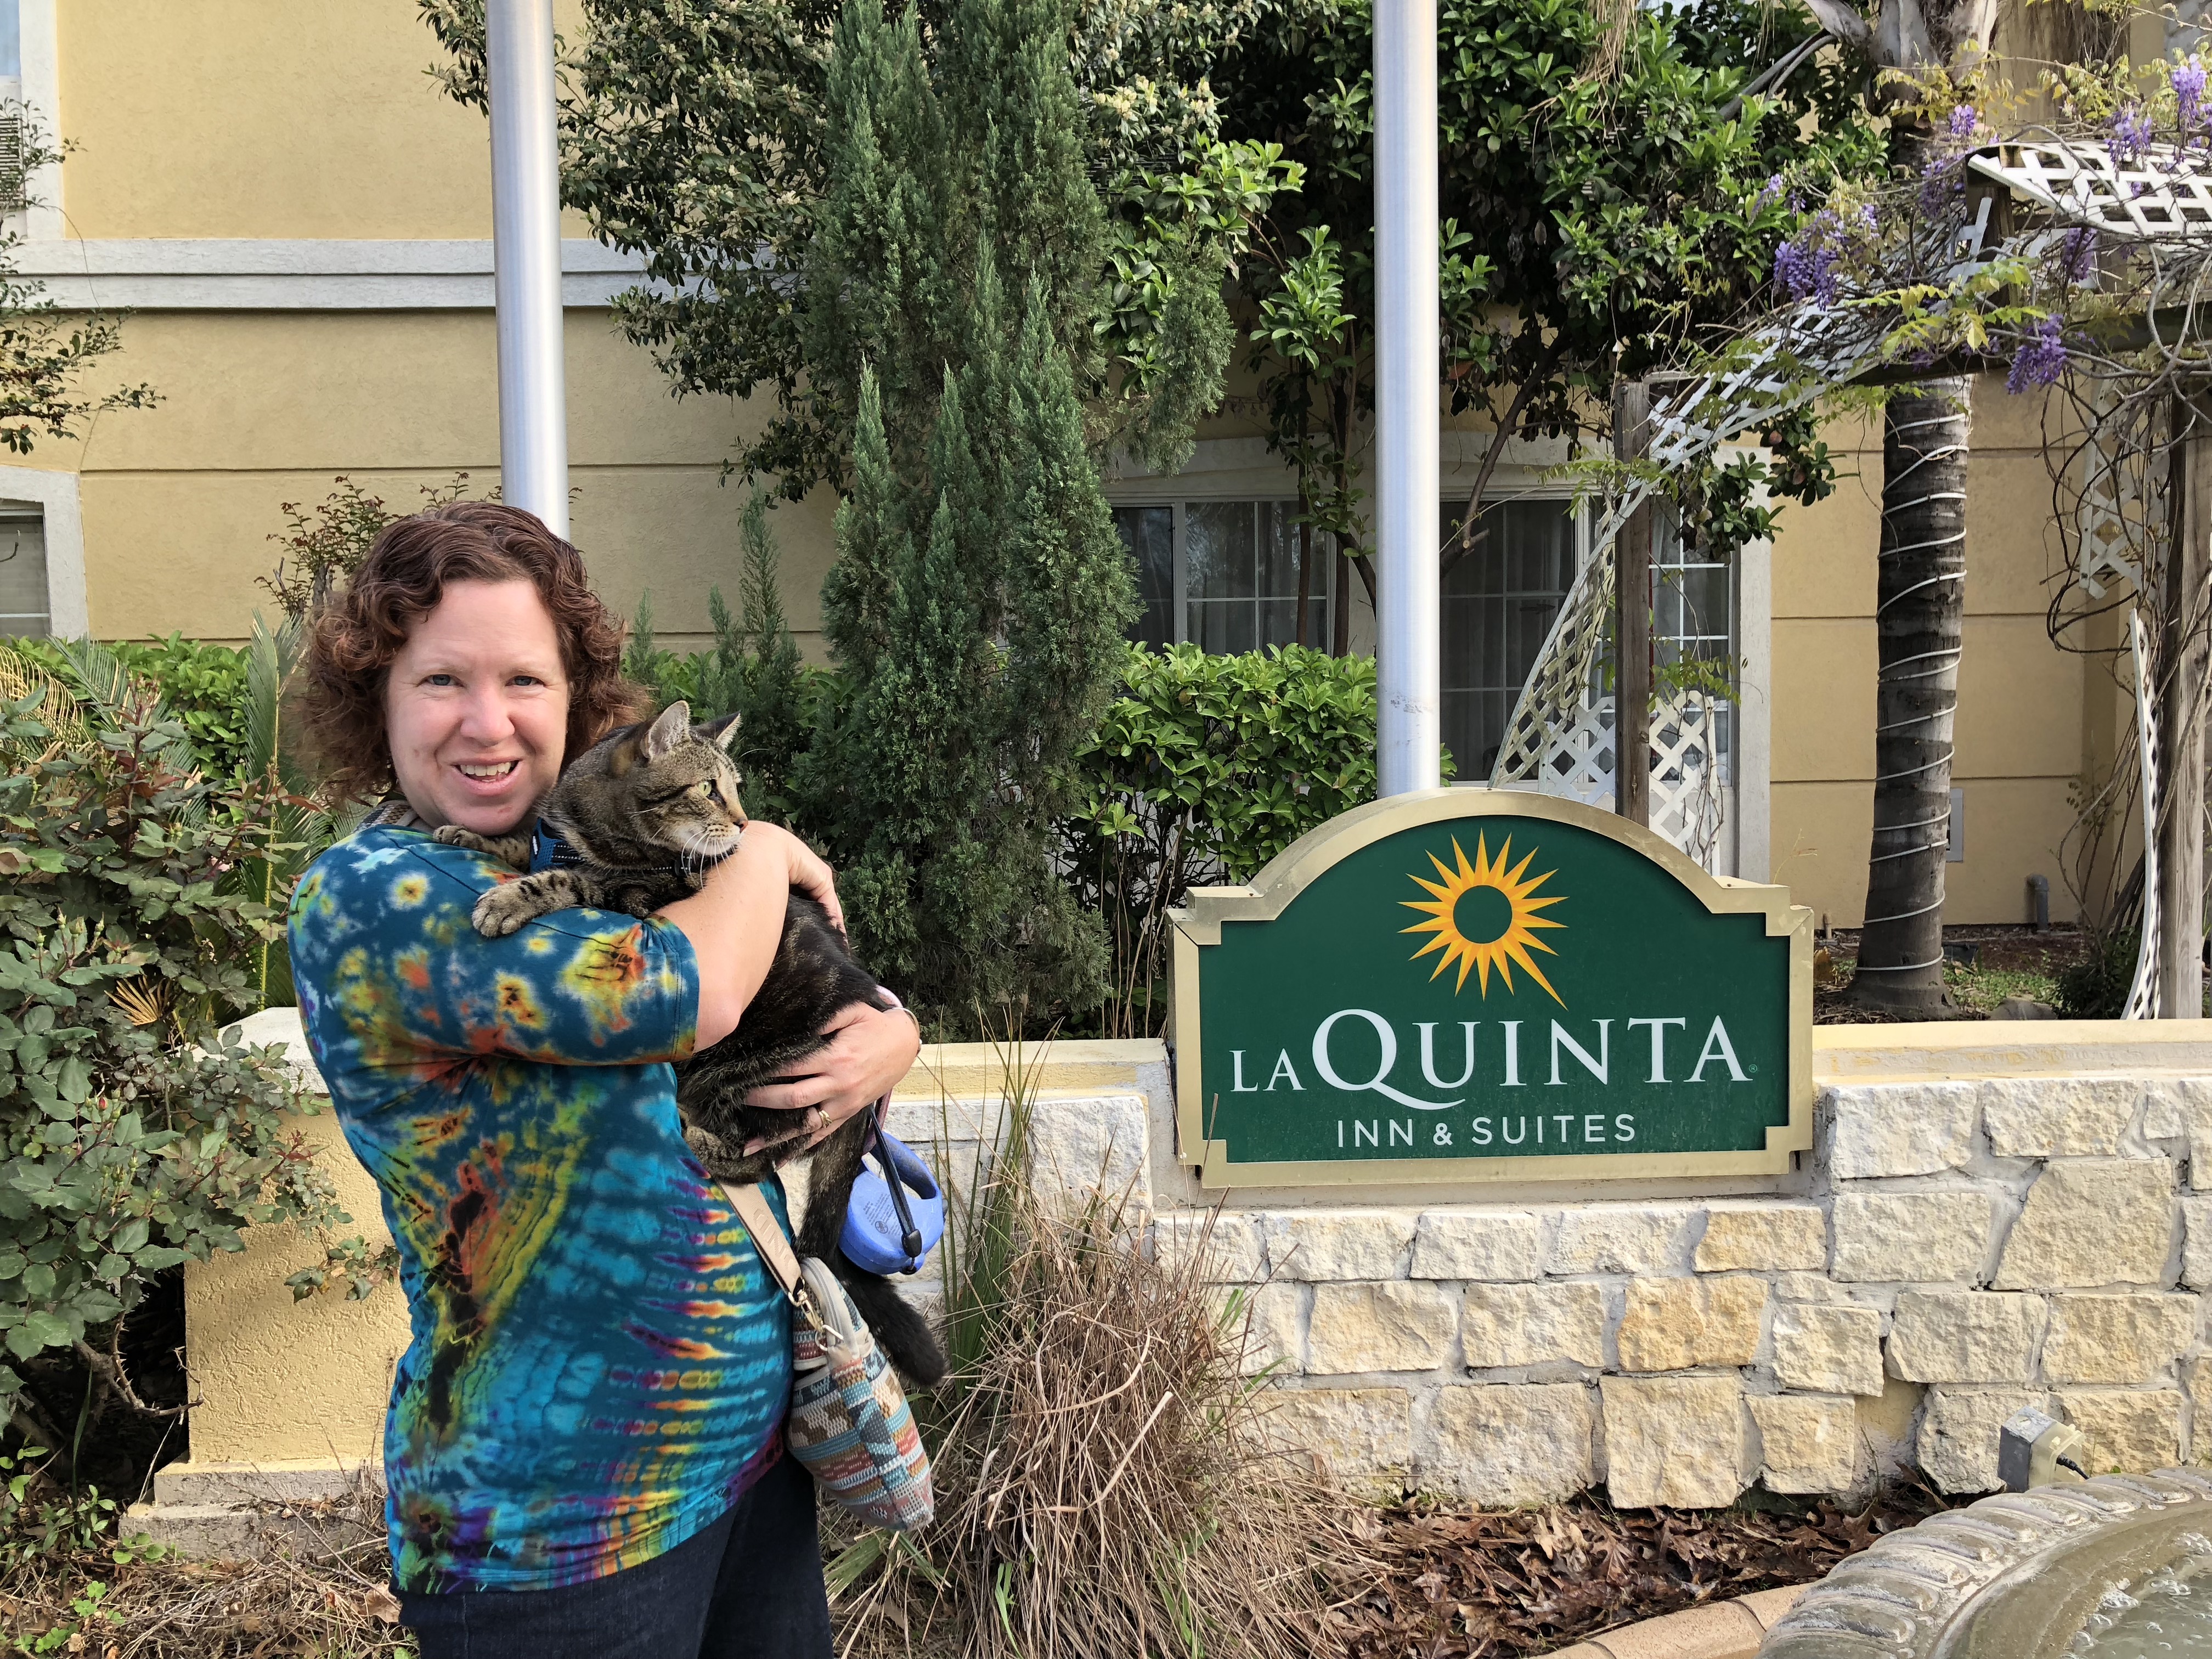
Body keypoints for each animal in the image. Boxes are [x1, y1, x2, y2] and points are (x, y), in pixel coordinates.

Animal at [432, 699, 948, 1387]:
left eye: (735, 787)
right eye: (708, 788)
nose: (746, 824)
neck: (593, 833)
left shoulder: (640, 903)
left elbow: (572, 881)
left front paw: (513, 896)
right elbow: (525, 847)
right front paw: (473, 837)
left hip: (748, 1074)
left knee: (758, 1153)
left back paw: (696, 1135)